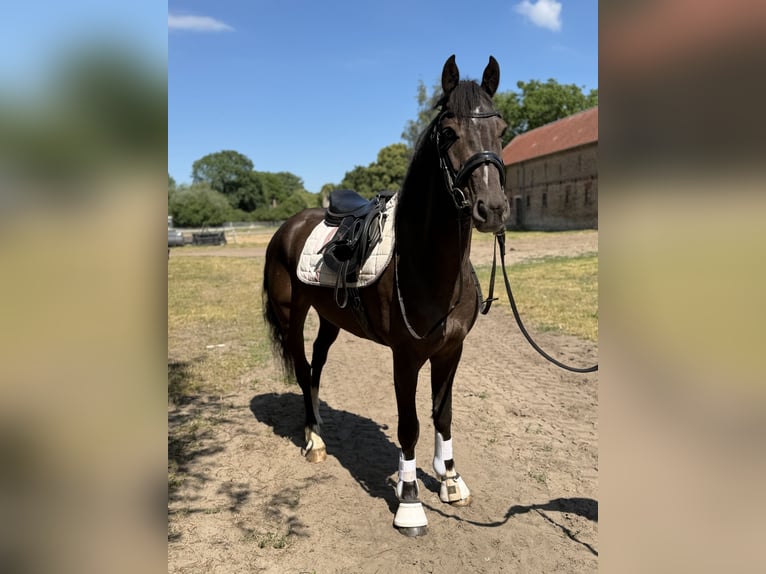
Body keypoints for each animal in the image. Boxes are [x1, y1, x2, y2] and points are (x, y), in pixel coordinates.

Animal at [262, 55, 509, 536]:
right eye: (448, 132)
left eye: (503, 128)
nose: (492, 209)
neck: (425, 263)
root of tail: (288, 227)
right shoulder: (406, 356)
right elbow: (409, 425)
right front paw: (410, 502)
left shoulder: (451, 351)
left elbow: (442, 414)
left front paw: (451, 481)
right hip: (291, 315)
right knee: (302, 370)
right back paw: (314, 441)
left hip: (330, 319)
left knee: (316, 366)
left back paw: (318, 423)